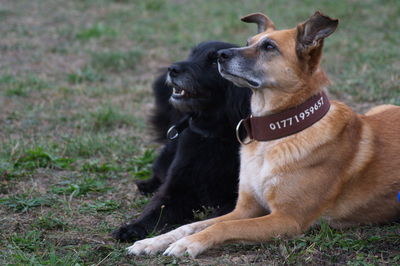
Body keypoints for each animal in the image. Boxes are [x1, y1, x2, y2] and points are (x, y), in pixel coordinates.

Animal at [112, 41, 250, 241]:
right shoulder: (177, 187)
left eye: (214, 61)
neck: (212, 134)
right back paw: (147, 185)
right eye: (191, 54)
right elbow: (157, 209)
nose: (172, 69)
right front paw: (132, 228)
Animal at [127, 10, 400, 258]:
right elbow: (191, 224)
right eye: (248, 42)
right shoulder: (244, 208)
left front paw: (188, 245)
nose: (222, 56)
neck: (275, 134)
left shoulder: (287, 219)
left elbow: (222, 227)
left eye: (269, 47)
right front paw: (152, 241)